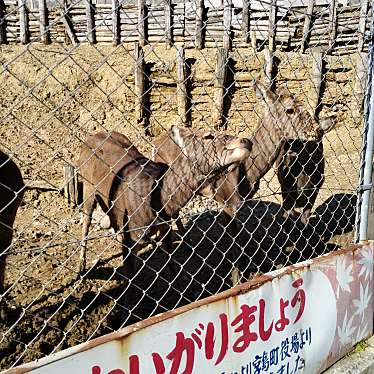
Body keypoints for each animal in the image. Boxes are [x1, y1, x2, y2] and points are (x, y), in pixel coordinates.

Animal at [76, 127, 253, 280]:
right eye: (208, 136)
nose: (246, 140)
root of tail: (87, 140)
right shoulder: (130, 240)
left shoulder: (166, 228)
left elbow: (172, 265)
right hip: (87, 188)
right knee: (86, 221)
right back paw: (80, 269)